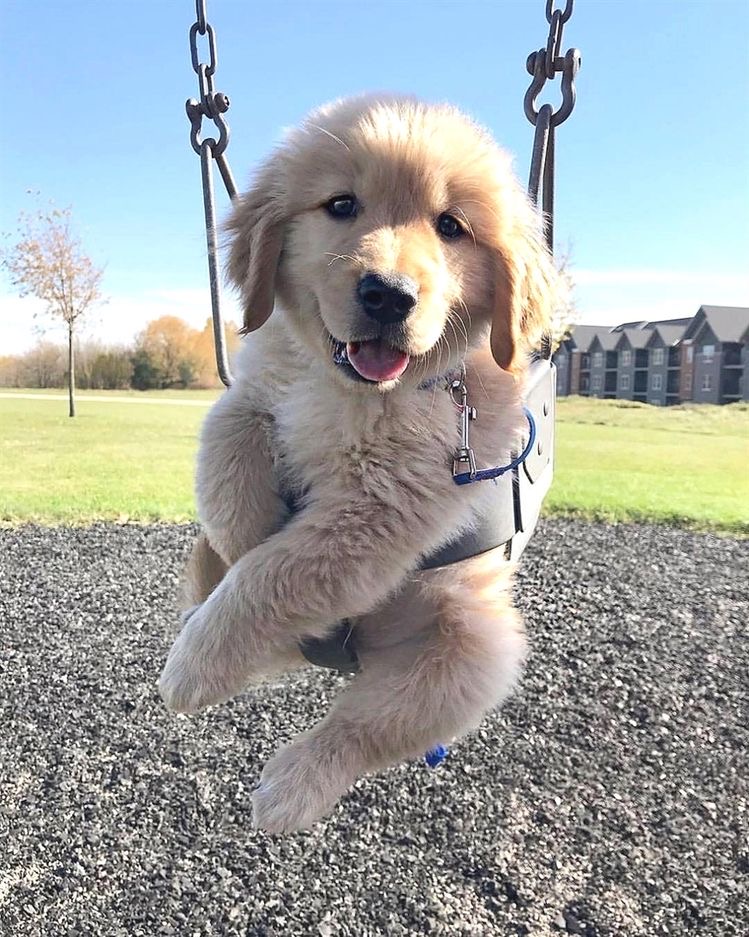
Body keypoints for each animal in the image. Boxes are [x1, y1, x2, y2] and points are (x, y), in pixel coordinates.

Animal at [158, 95, 556, 828]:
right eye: (341, 205)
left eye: (450, 226)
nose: (388, 295)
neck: (354, 391)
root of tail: (362, 657)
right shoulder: (254, 391)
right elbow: (228, 463)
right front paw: (248, 533)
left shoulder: (380, 509)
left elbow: (274, 572)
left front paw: (195, 667)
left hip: (473, 648)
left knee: (365, 727)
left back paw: (290, 786)